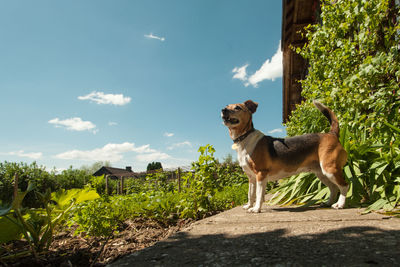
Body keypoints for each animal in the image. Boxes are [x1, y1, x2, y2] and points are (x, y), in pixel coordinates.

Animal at [220, 100, 348, 214]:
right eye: (227, 106)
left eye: (237, 107)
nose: (223, 110)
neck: (245, 137)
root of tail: (331, 134)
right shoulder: (251, 178)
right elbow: (250, 194)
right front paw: (249, 206)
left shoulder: (261, 174)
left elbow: (258, 194)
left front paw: (256, 209)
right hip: (322, 173)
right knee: (334, 188)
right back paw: (328, 203)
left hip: (330, 170)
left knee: (344, 186)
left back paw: (340, 204)